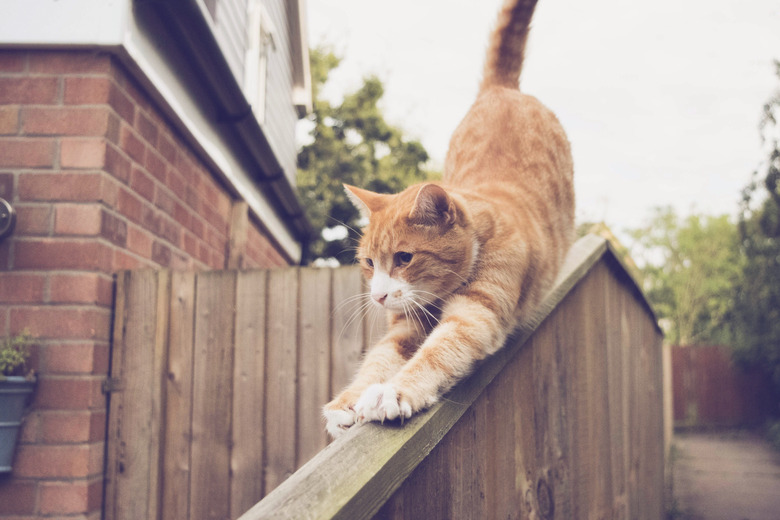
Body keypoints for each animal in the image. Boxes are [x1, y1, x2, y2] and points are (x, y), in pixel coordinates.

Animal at [322, 0, 572, 438]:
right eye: (369, 263)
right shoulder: (405, 326)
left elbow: (437, 353)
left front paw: (391, 393)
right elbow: (379, 359)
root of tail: (502, 89)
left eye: (404, 258)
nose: (379, 296)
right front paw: (349, 402)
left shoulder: (475, 315)